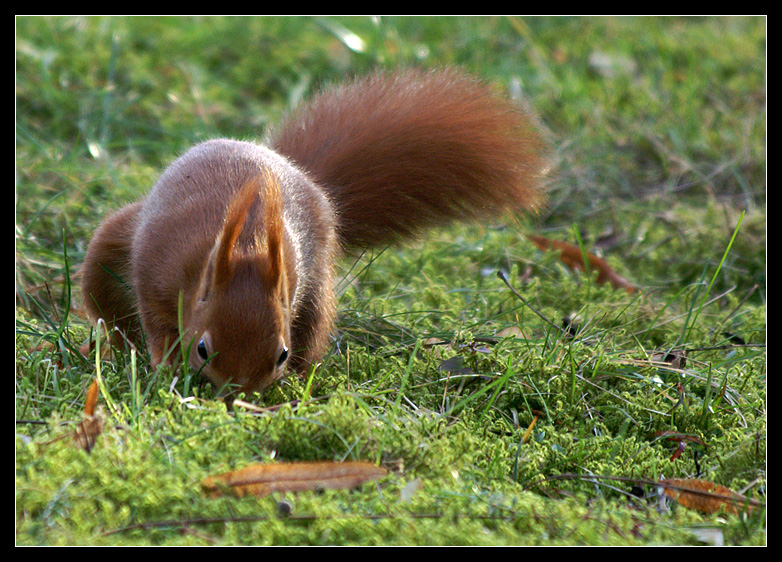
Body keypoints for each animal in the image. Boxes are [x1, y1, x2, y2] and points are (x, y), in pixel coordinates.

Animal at [79, 68, 544, 396]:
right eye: (203, 349)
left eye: (280, 354)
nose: (237, 396)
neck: (244, 245)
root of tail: (286, 163)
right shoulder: (157, 269)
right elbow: (157, 323)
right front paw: (167, 367)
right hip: (110, 250)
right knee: (113, 314)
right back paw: (112, 351)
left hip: (318, 287)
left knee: (316, 330)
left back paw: (305, 381)